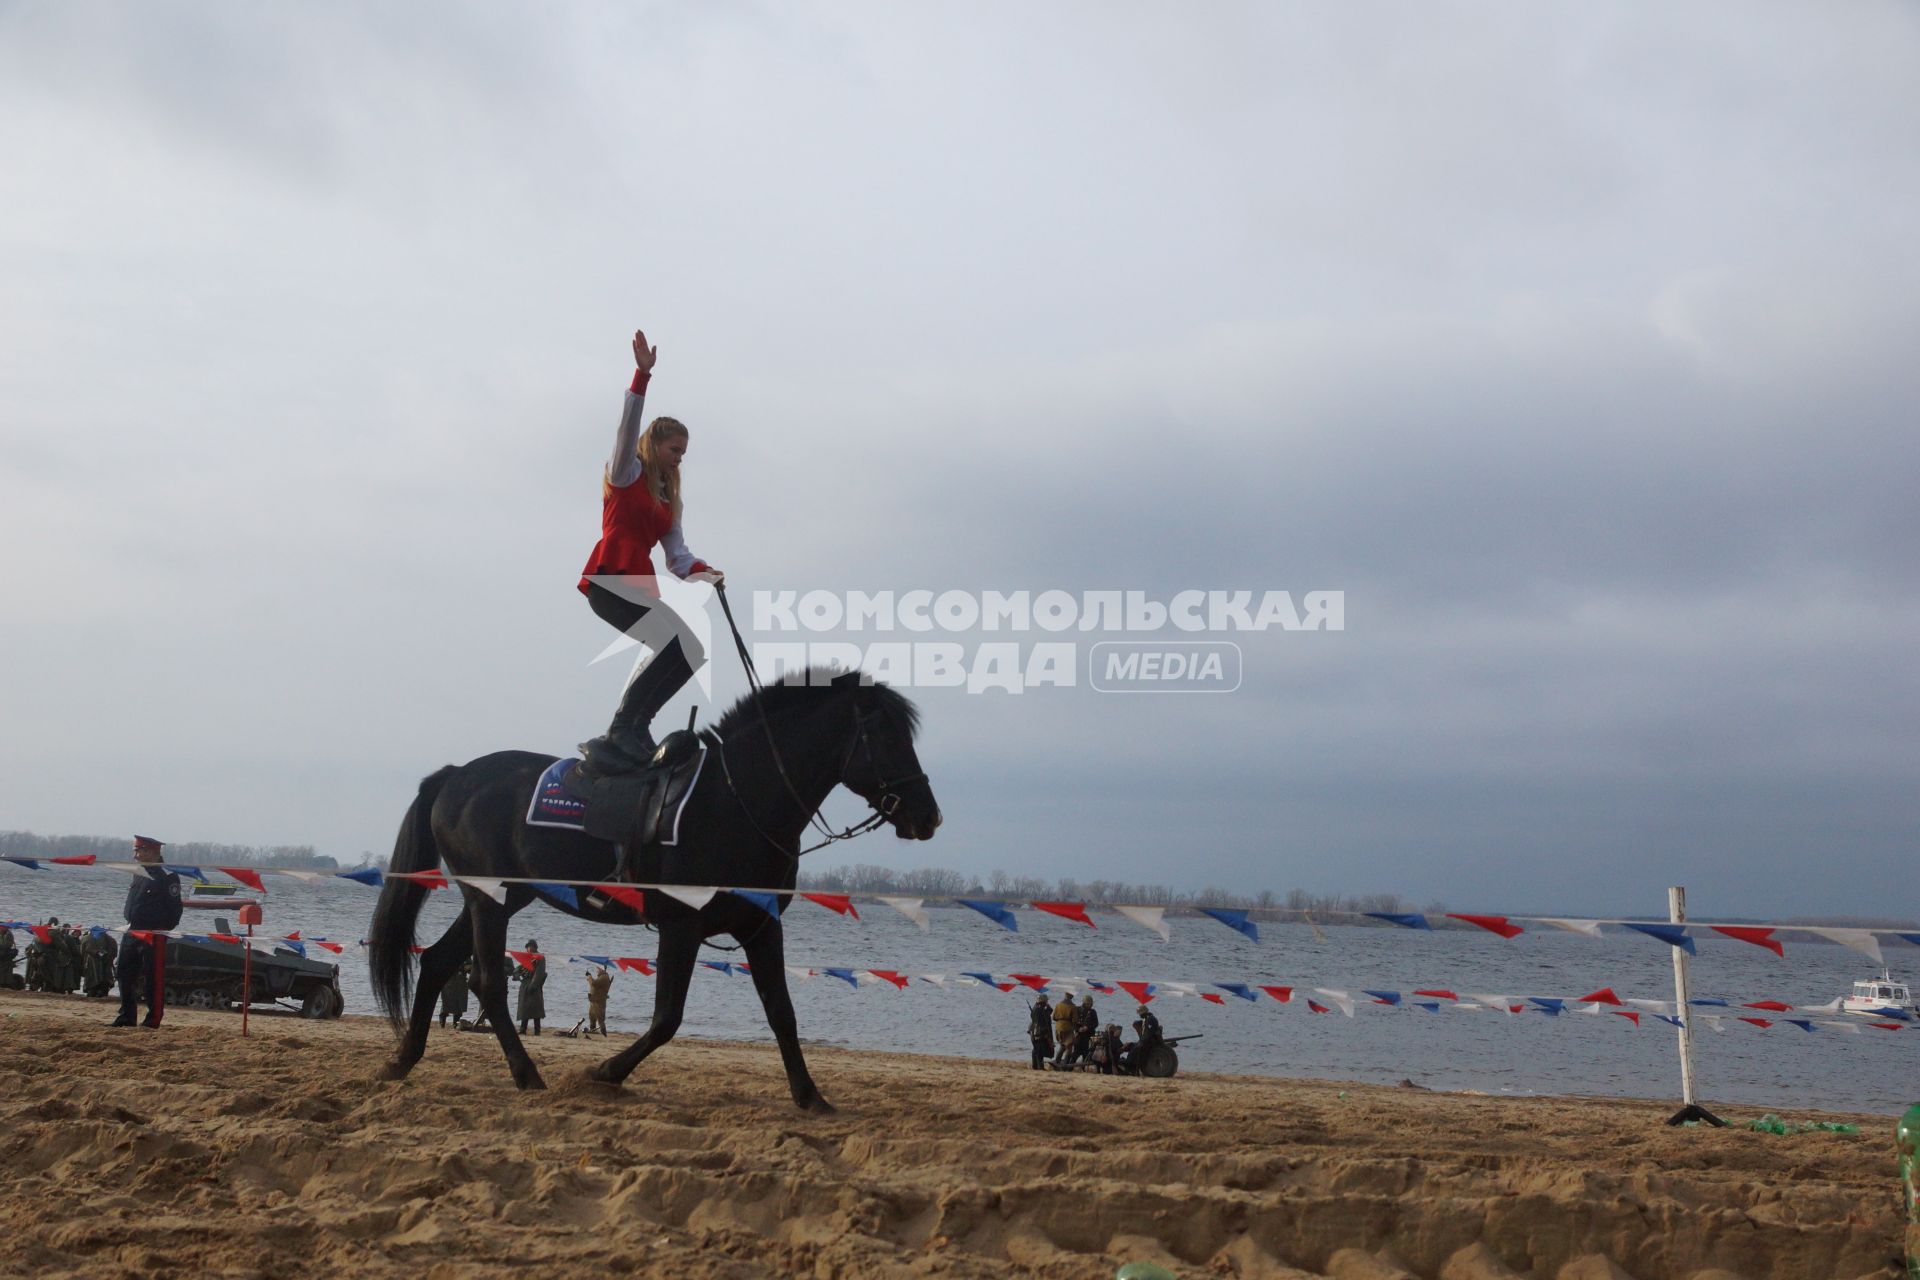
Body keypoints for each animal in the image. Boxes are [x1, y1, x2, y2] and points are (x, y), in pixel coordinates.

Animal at [366, 671, 936, 1113]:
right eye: (884, 734)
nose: (928, 815)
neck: (737, 799)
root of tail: (456, 775)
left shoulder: (760, 927)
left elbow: (781, 1013)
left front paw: (810, 1096)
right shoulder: (681, 926)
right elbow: (667, 1019)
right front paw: (604, 1073)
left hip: (499, 898)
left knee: (438, 962)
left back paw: (402, 1060)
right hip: (491, 899)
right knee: (486, 981)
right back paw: (525, 1074)